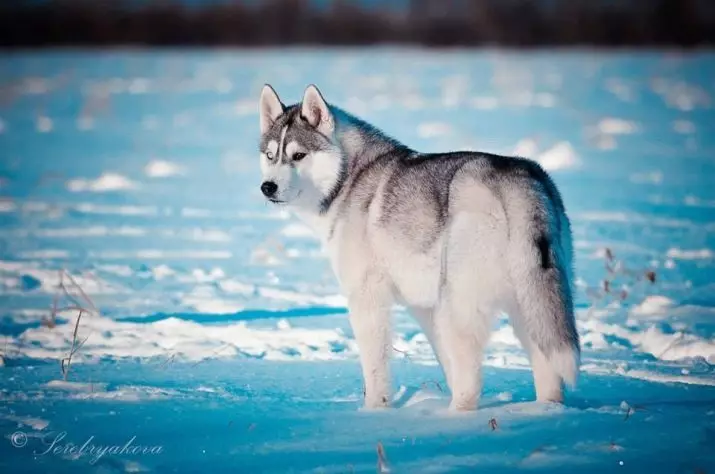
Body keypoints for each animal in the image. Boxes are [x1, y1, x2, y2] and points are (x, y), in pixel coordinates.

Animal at [258, 83, 580, 410]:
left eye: (298, 155)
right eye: (270, 156)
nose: (267, 187)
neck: (349, 177)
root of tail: (517, 179)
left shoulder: (367, 296)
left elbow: (375, 369)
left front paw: (373, 411)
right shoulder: (424, 307)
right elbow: (445, 362)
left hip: (460, 303)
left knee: (470, 379)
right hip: (529, 302)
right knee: (544, 367)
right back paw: (546, 410)